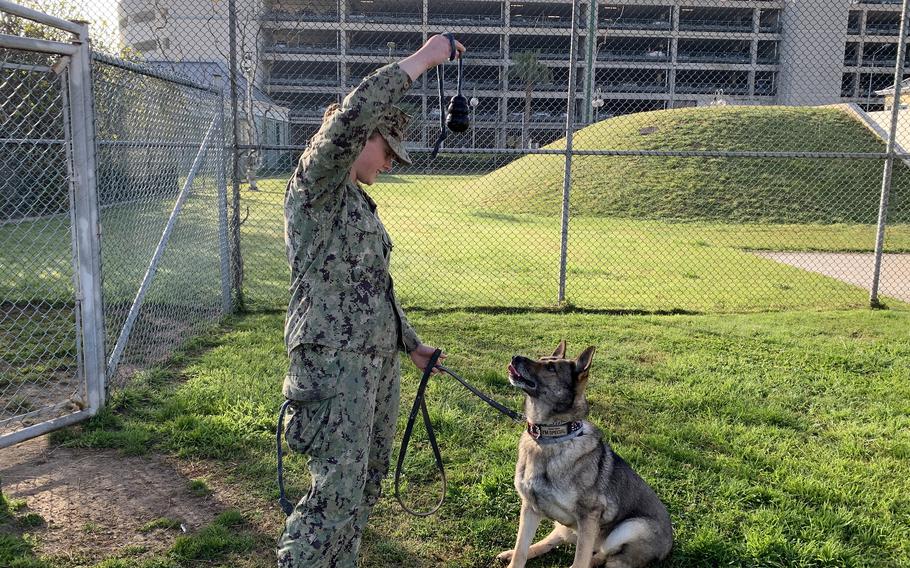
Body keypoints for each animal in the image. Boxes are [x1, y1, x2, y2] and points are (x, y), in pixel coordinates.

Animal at [496, 342, 672, 568]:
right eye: (541, 359)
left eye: (551, 368)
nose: (515, 357)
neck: (551, 437)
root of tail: (670, 543)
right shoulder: (530, 509)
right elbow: (521, 551)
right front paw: (515, 556)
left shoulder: (589, 517)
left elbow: (580, 560)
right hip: (567, 528)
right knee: (551, 542)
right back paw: (511, 553)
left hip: (631, 528)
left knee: (607, 558)